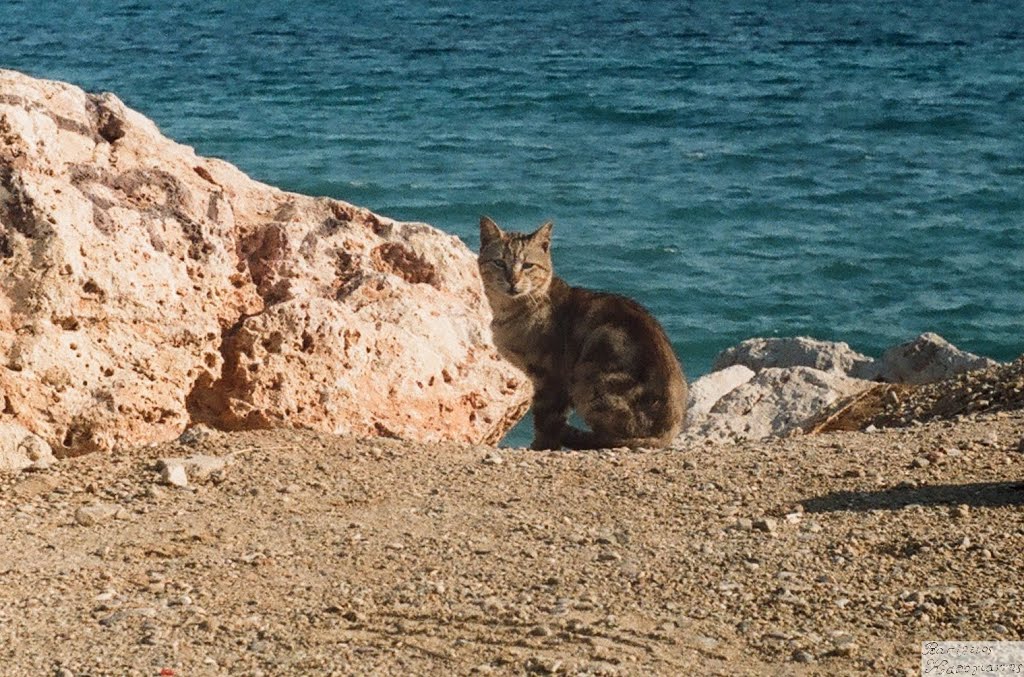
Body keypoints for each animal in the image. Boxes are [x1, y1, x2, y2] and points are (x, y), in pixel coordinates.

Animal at [479, 216, 688, 448]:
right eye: (499, 263)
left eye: (528, 266)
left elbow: (546, 422)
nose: (512, 280)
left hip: (589, 379)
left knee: (611, 437)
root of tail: (669, 431)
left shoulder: (551, 378)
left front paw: (541, 446)